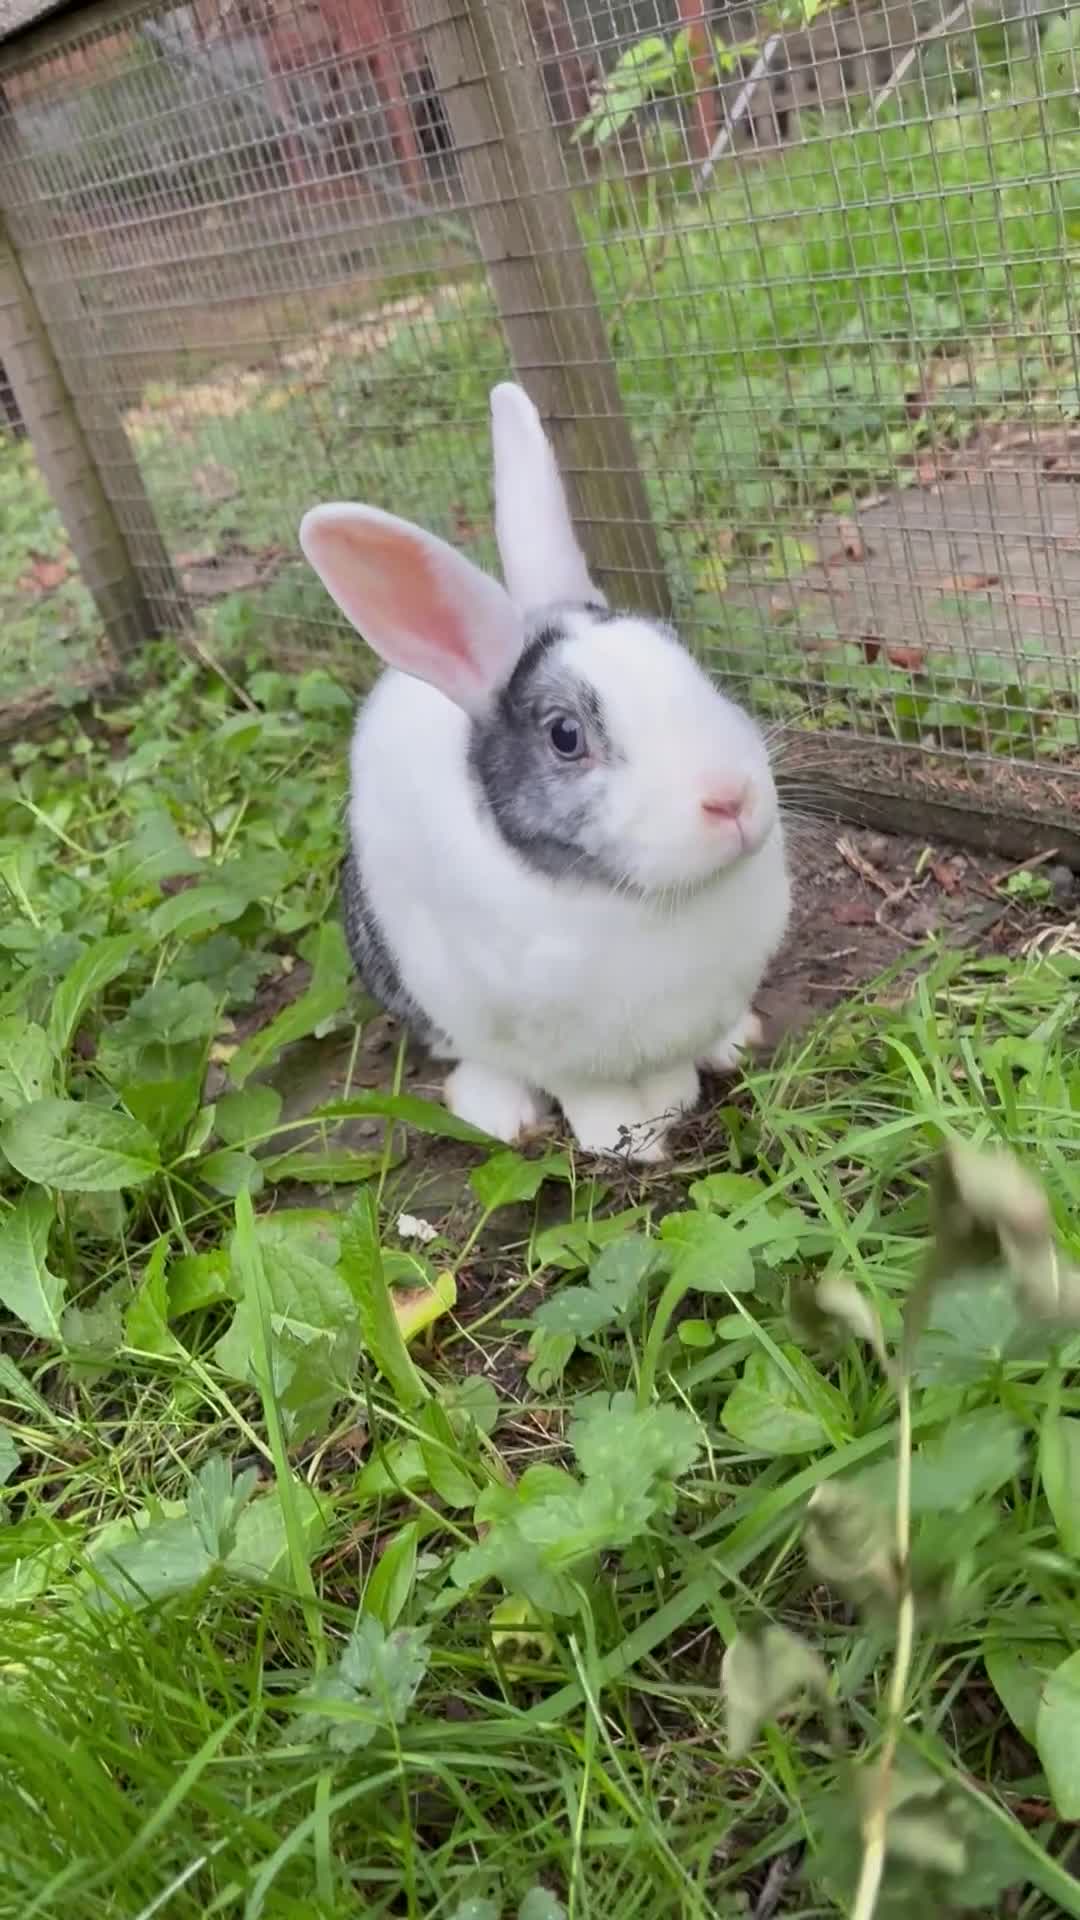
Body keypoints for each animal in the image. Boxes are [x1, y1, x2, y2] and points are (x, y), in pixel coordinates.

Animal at [299, 382, 790, 1162]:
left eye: (683, 655)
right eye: (566, 736)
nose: (730, 799)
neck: (639, 899)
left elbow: (674, 1068)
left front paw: (675, 1101)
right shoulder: (555, 1051)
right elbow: (588, 1096)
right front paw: (625, 1142)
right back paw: (498, 1110)